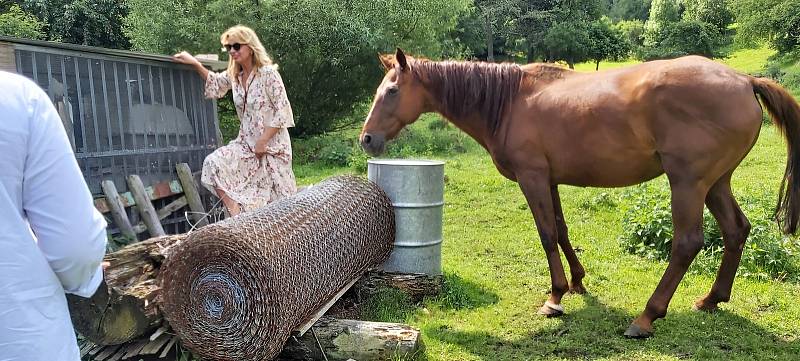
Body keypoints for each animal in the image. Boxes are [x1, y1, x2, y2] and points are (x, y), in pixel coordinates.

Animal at [360, 48, 800, 338]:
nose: (367, 139)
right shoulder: (550, 180)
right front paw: (576, 282)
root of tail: (744, 80)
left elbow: (546, 234)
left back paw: (646, 317)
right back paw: (712, 299)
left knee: (687, 243)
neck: (511, 101)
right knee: (736, 230)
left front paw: (554, 298)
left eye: (392, 91)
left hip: (688, 183)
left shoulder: (533, 177)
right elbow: (561, 229)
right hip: (716, 183)